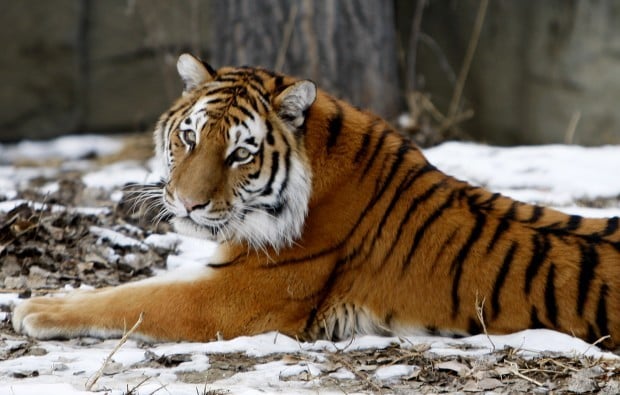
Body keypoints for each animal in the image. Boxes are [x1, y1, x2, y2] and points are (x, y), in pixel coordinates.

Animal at [12, 51, 616, 350]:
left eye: (240, 154)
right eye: (188, 138)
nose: (186, 205)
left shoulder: (236, 295)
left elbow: (136, 299)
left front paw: (34, 309)